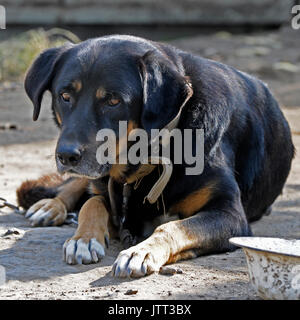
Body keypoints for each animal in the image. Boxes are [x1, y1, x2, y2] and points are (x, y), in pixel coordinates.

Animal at [17, 35, 294, 278]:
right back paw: (50, 206)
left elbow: (171, 226)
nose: (66, 156)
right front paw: (82, 239)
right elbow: (92, 202)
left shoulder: (230, 215)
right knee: (78, 186)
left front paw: (141, 251)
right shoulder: (113, 197)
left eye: (114, 101)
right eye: (64, 96)